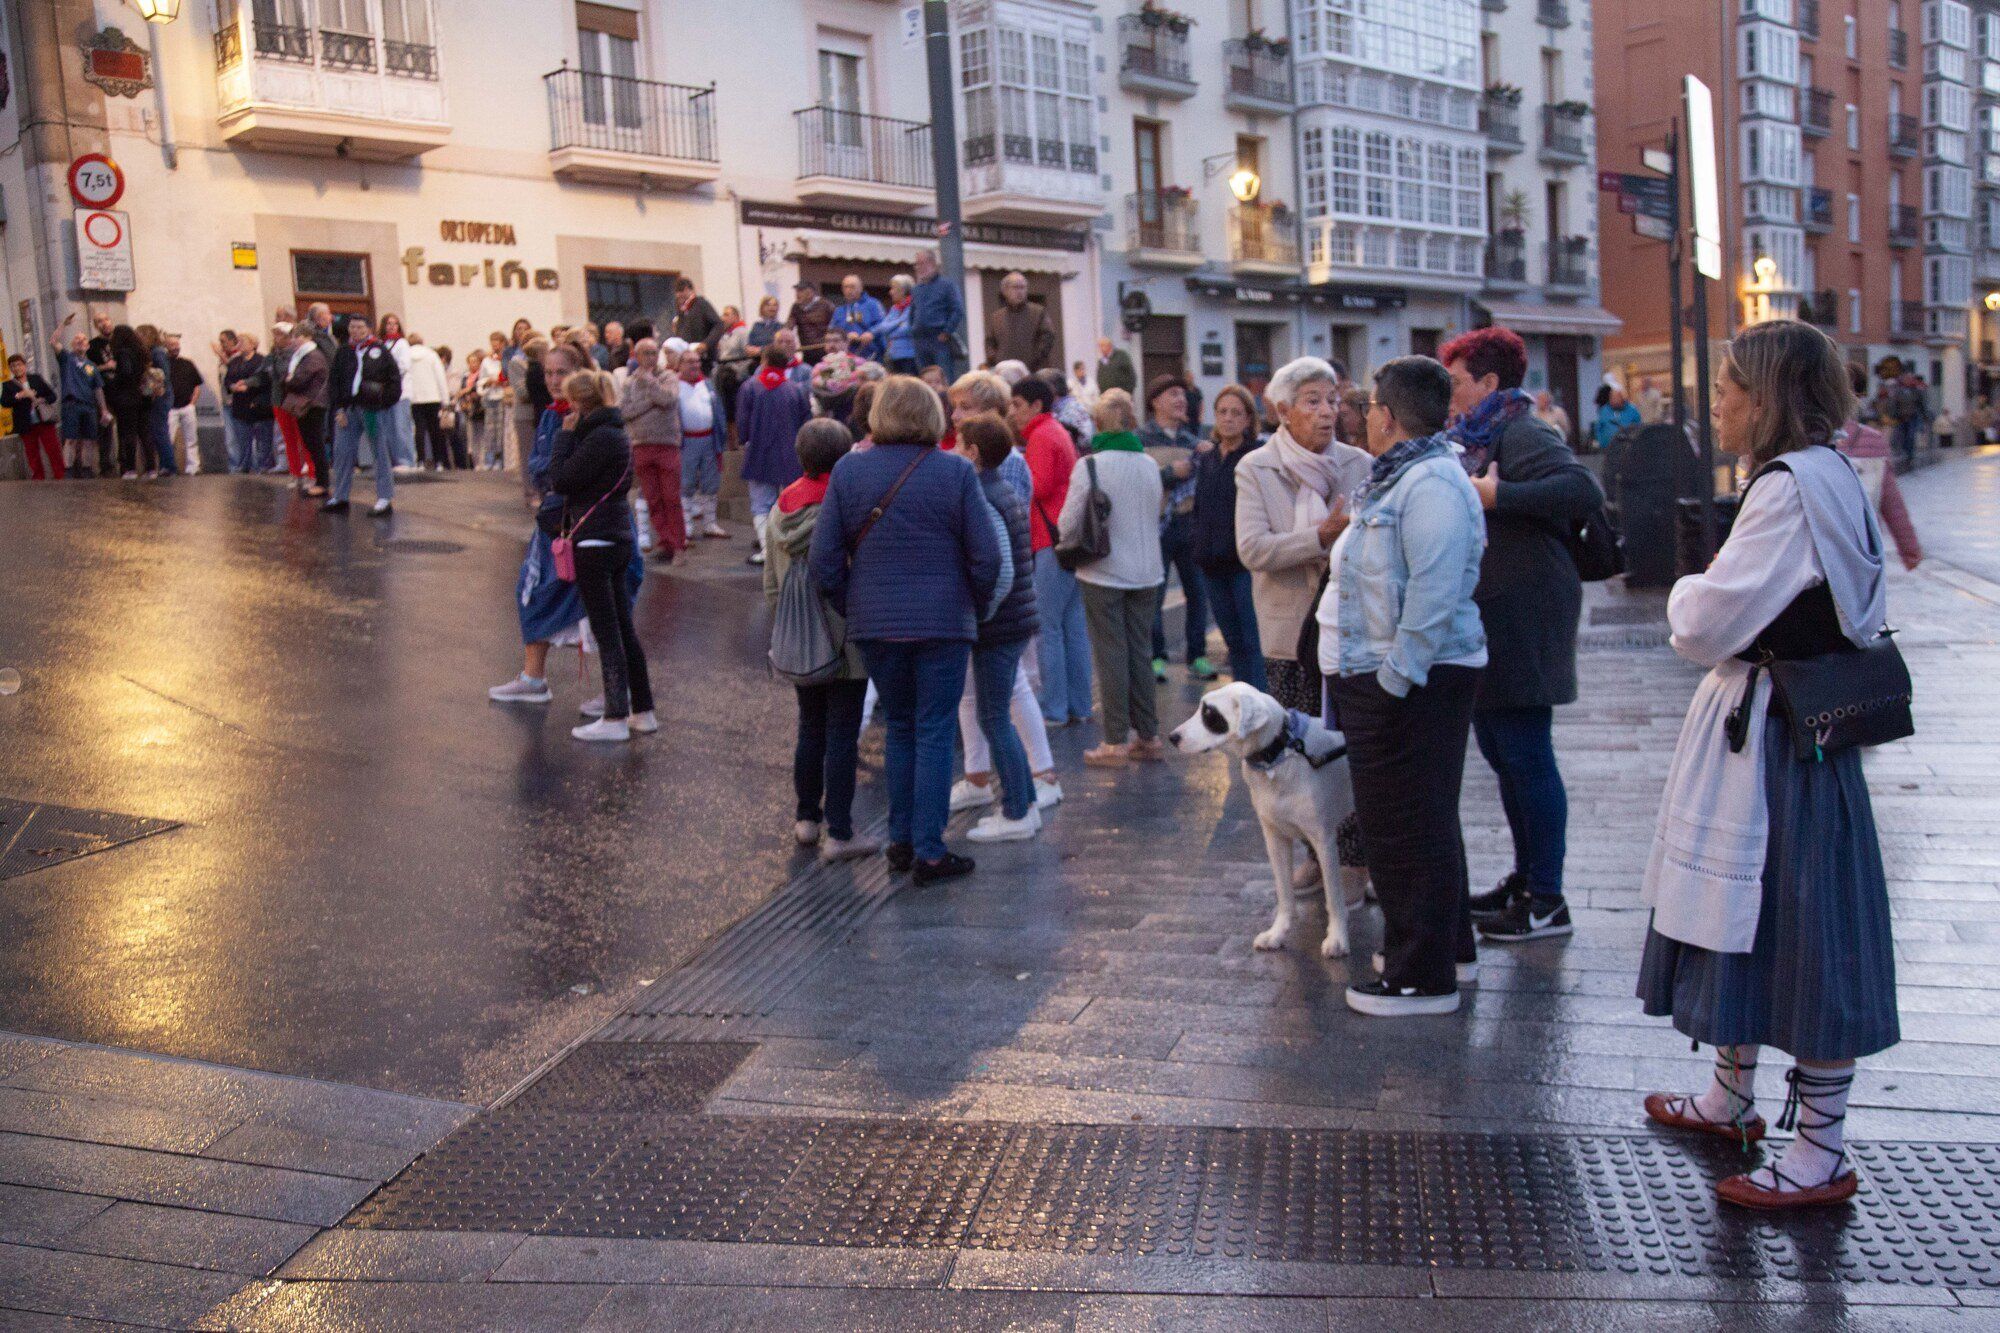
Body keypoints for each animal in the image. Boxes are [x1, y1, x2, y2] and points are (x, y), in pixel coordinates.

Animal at [1168, 684, 1368, 956]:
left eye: (1210, 715)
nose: (1172, 737)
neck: (1279, 753)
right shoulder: (1275, 838)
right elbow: (1284, 894)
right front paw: (1277, 933)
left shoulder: (1324, 840)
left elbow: (1333, 897)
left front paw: (1337, 938)